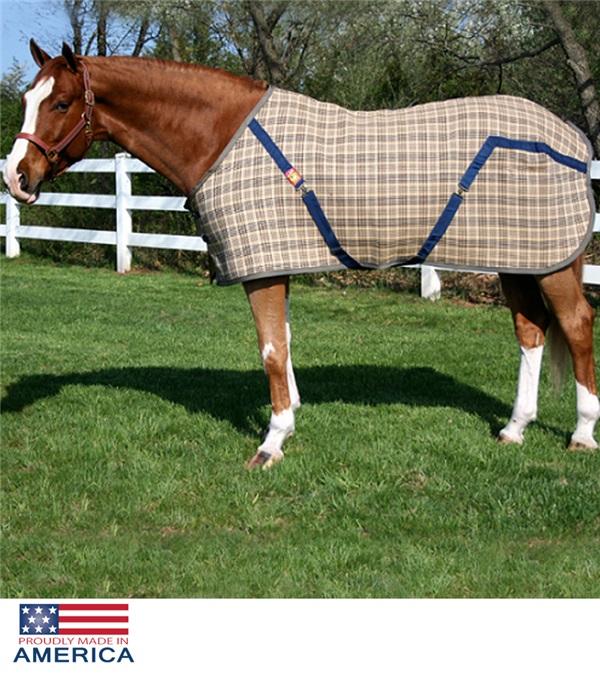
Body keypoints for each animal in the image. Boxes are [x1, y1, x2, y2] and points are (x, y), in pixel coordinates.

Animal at [3, 41, 598, 469]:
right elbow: (284, 345)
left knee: (575, 325)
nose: (15, 177)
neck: (220, 137)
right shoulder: (276, 263)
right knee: (531, 331)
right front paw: (288, 421)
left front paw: (271, 444)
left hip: (552, 264)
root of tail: (573, 138)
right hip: (519, 260)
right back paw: (514, 429)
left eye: (60, 103)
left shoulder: (262, 270)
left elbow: (270, 350)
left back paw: (582, 434)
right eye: (28, 101)